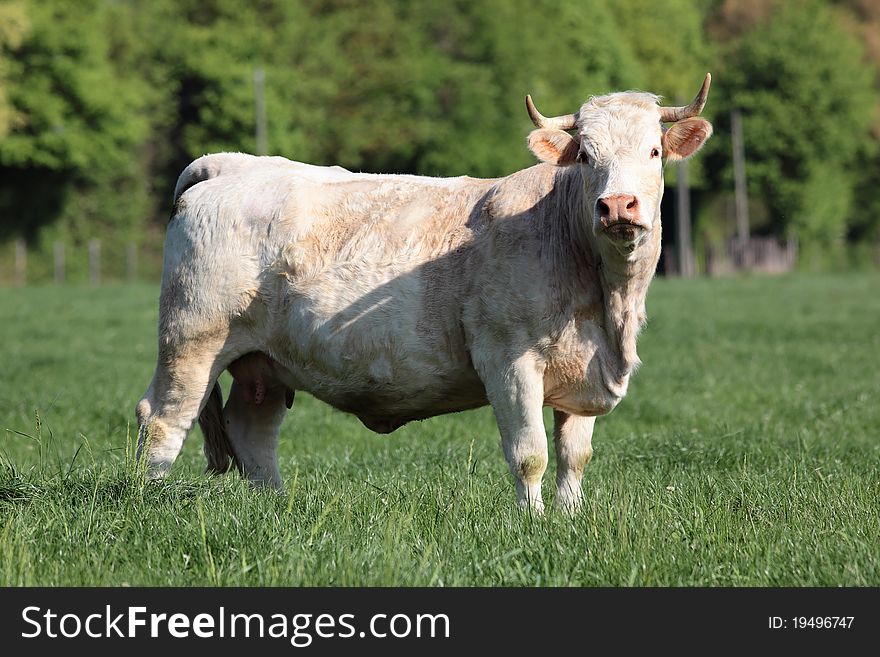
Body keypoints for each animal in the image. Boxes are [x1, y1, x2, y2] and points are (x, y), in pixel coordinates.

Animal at [138, 74, 716, 510]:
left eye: (654, 150)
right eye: (587, 157)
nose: (618, 206)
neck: (607, 298)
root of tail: (232, 165)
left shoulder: (582, 372)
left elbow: (574, 458)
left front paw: (569, 520)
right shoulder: (508, 359)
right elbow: (529, 453)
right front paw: (533, 523)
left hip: (264, 362)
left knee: (251, 431)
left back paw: (275, 506)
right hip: (192, 340)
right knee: (162, 420)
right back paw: (152, 504)